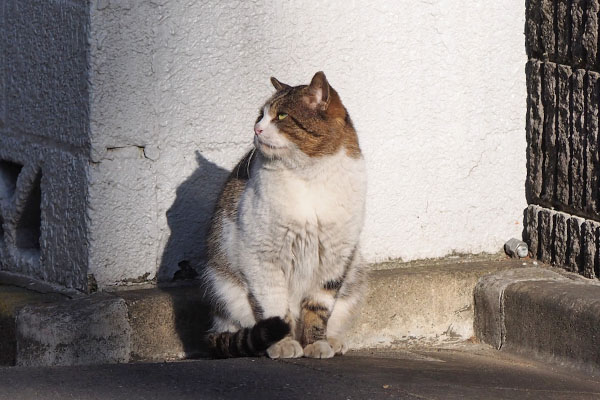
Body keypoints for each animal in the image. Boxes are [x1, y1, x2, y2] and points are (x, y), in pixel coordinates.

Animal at [204, 72, 368, 360]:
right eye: (260, 115)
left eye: (280, 116)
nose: (256, 129)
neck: (309, 176)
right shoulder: (261, 256)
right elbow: (275, 307)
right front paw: (282, 343)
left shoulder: (335, 257)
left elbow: (318, 308)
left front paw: (316, 344)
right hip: (224, 288)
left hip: (353, 276)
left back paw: (333, 341)